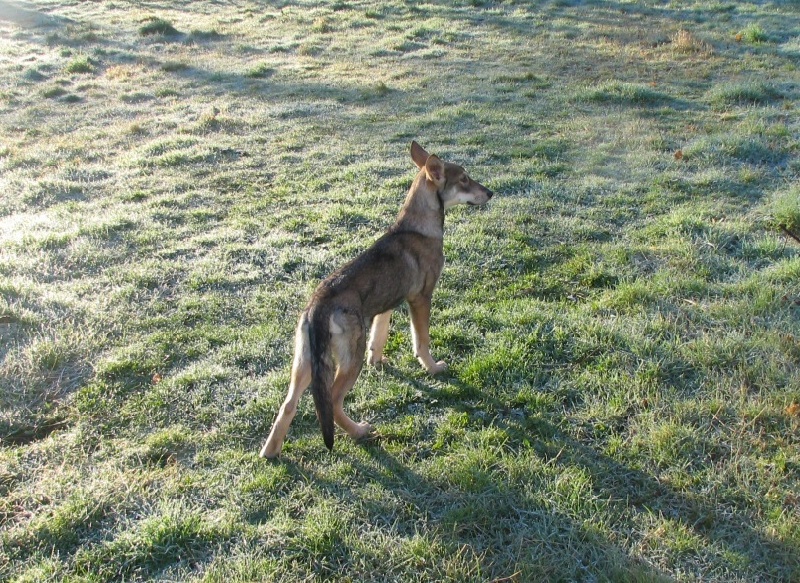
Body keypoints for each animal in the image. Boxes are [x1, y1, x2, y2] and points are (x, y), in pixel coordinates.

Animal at [260, 139, 490, 458]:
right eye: (465, 179)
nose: (490, 193)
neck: (418, 226)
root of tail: (317, 305)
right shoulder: (421, 298)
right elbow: (422, 342)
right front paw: (433, 368)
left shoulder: (387, 306)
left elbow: (379, 337)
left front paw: (378, 361)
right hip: (345, 362)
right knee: (333, 402)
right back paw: (359, 431)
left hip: (306, 364)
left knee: (288, 405)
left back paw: (270, 452)